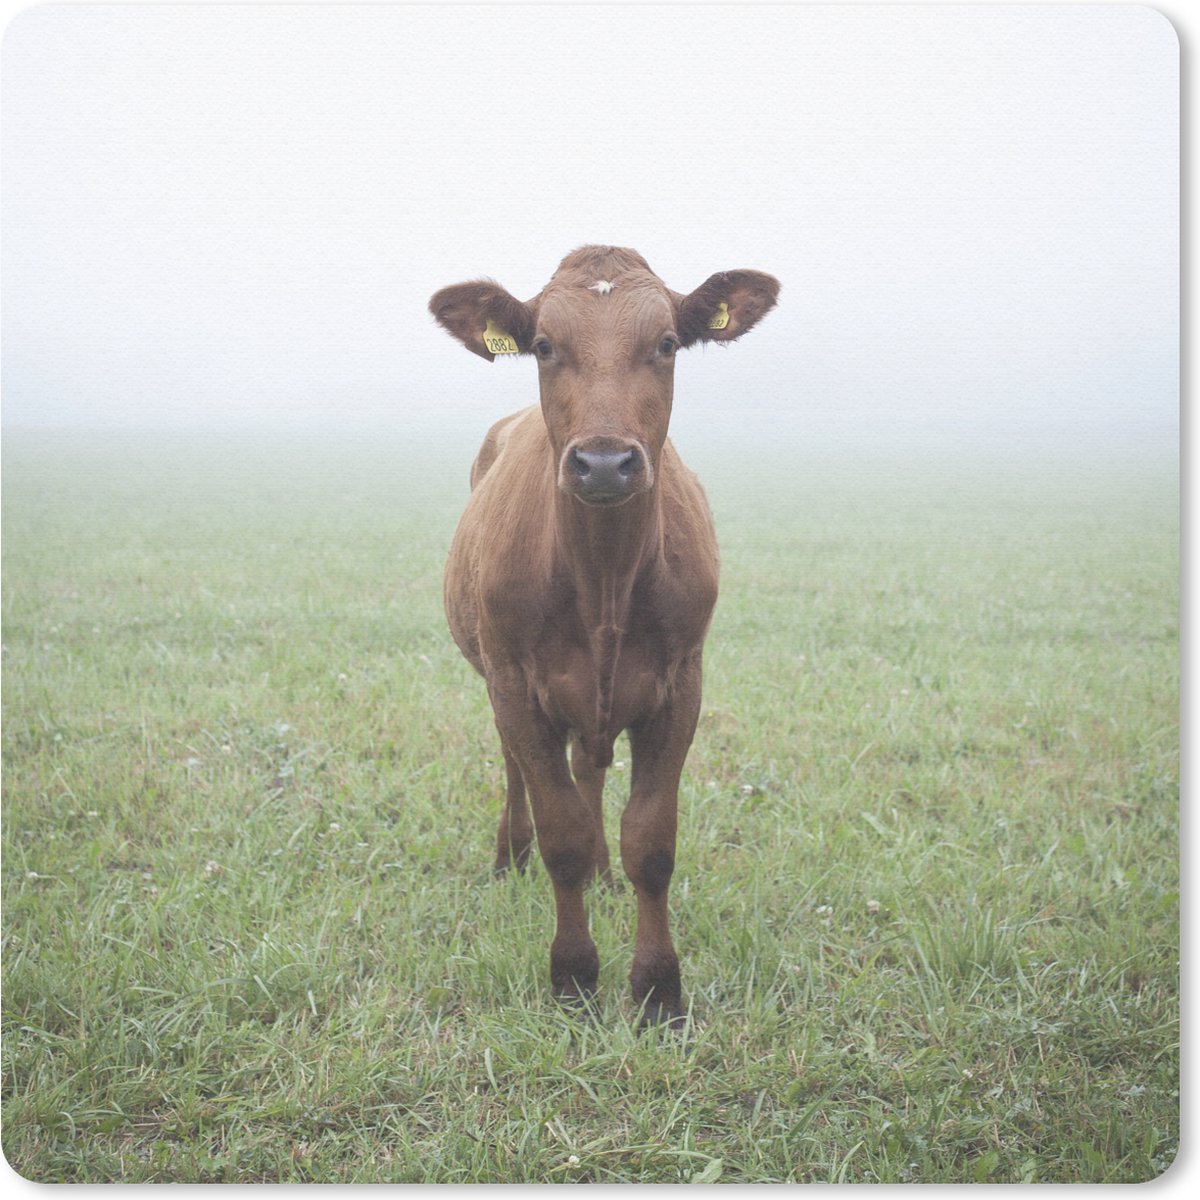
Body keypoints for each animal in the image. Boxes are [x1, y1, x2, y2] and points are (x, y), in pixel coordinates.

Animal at [430, 246, 779, 1025]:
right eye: (543, 346)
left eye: (668, 343)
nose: (603, 462)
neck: (604, 581)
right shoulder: (515, 685)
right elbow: (560, 834)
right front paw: (574, 977)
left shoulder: (681, 685)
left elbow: (650, 843)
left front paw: (657, 989)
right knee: (520, 772)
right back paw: (510, 859)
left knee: (589, 770)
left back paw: (604, 876)